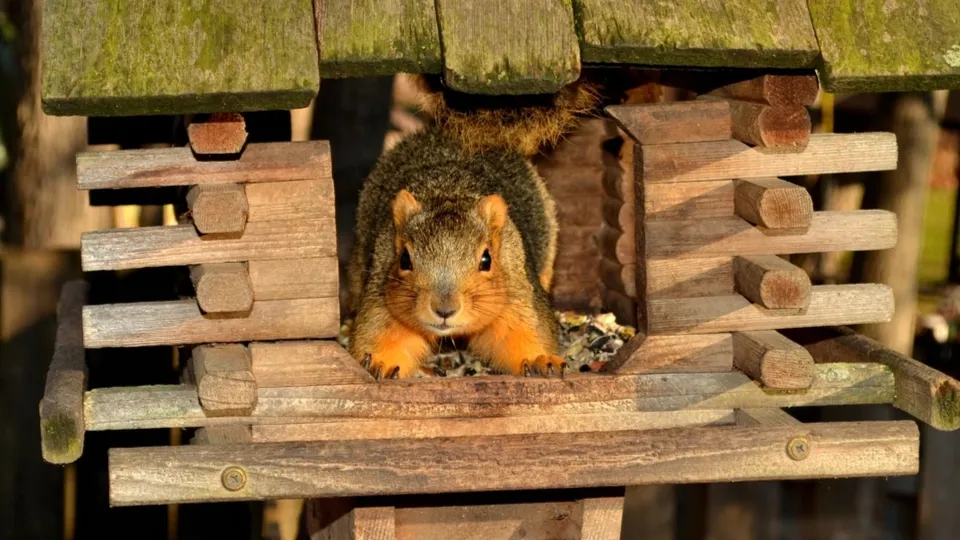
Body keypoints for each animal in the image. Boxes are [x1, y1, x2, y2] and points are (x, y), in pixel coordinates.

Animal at [344, 76, 600, 380]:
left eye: (486, 260)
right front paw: (378, 361)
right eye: (404, 259)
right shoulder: (381, 294)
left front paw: (540, 359)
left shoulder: (517, 291)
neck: (449, 191)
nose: (444, 309)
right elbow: (383, 332)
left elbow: (523, 331)